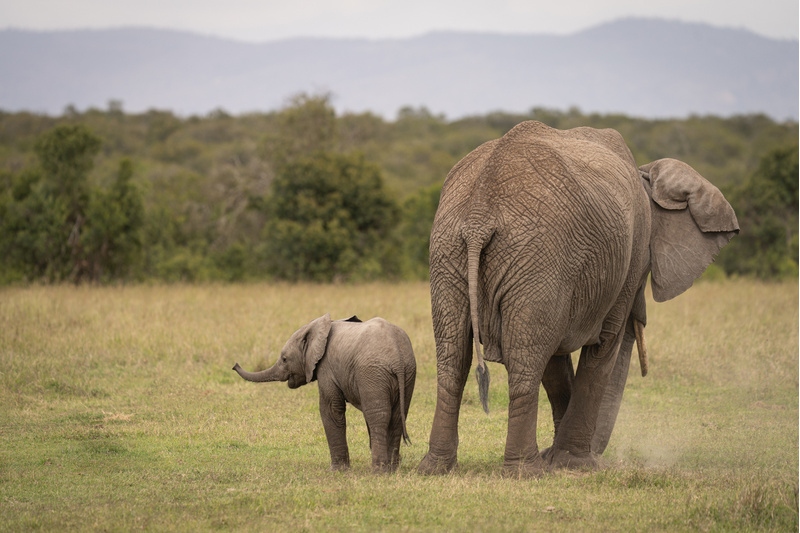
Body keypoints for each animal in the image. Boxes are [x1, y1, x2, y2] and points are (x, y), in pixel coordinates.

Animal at [233, 314, 416, 473]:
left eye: (284, 359)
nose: (234, 365)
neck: (318, 327)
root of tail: (397, 357)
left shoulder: (326, 368)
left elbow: (330, 409)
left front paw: (336, 471)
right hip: (406, 374)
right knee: (397, 416)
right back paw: (392, 470)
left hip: (372, 372)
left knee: (378, 416)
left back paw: (379, 471)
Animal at [417, 121, 738, 477]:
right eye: (647, 269)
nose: (600, 455)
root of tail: (479, 214)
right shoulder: (625, 261)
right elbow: (604, 346)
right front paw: (578, 464)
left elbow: (555, 361)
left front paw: (558, 458)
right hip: (535, 254)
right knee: (524, 357)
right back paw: (526, 472)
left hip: (451, 251)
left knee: (455, 354)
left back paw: (435, 468)